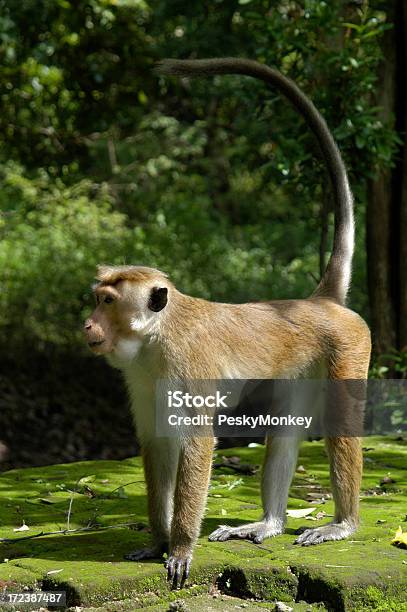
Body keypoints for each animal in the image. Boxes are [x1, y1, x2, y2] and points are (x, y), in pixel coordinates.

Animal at [83, 57, 372, 588]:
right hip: (300, 368)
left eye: (108, 301)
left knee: (341, 422)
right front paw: (157, 540)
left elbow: (195, 443)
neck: (157, 337)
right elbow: (157, 441)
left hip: (349, 347)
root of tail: (319, 302)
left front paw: (179, 546)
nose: (88, 325)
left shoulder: (189, 367)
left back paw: (342, 523)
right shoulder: (140, 376)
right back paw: (269, 523)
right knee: (284, 428)